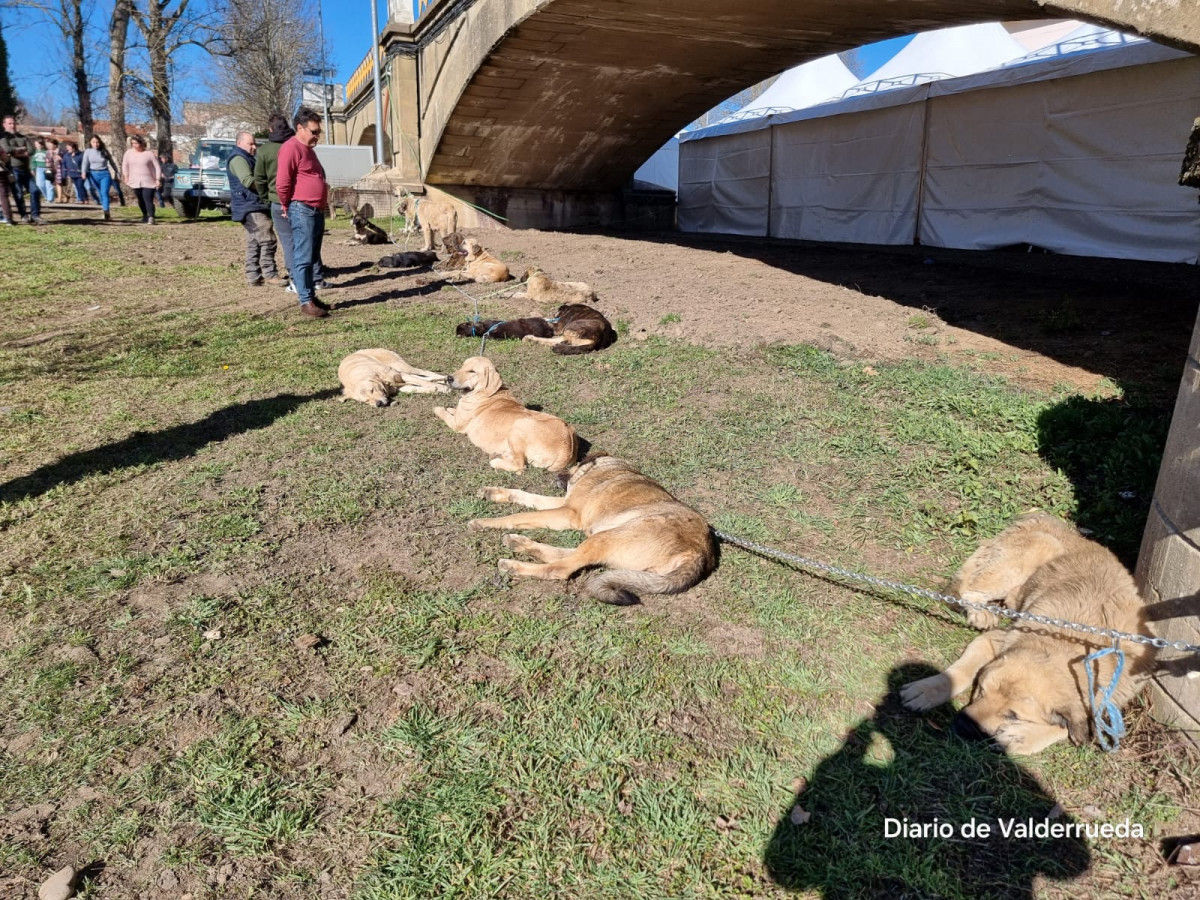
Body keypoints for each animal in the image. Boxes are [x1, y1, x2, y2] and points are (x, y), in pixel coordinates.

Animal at [434, 357, 578, 475]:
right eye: (462, 366)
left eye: (472, 371)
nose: (448, 378)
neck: (485, 392)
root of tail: (568, 448)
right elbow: (453, 410)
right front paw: (450, 408)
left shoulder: (456, 425)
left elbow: (443, 413)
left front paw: (438, 408)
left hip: (519, 426)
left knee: (520, 466)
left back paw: (496, 461)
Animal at [465, 453, 710, 609]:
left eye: (573, 464)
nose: (556, 473)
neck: (603, 466)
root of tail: (699, 554)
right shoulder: (563, 505)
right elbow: (525, 495)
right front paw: (493, 492)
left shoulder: (568, 512)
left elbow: (520, 516)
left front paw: (485, 521)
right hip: (610, 537)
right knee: (566, 555)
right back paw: (519, 543)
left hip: (612, 535)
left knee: (561, 569)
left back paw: (513, 565)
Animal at [902, 511, 1152, 758]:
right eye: (981, 690)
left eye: (1013, 715)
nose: (962, 724)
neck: (1071, 645)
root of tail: (1035, 517)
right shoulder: (995, 640)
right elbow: (961, 670)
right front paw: (928, 689)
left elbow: (1069, 726)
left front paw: (1023, 736)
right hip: (1040, 547)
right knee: (969, 592)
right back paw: (980, 613)